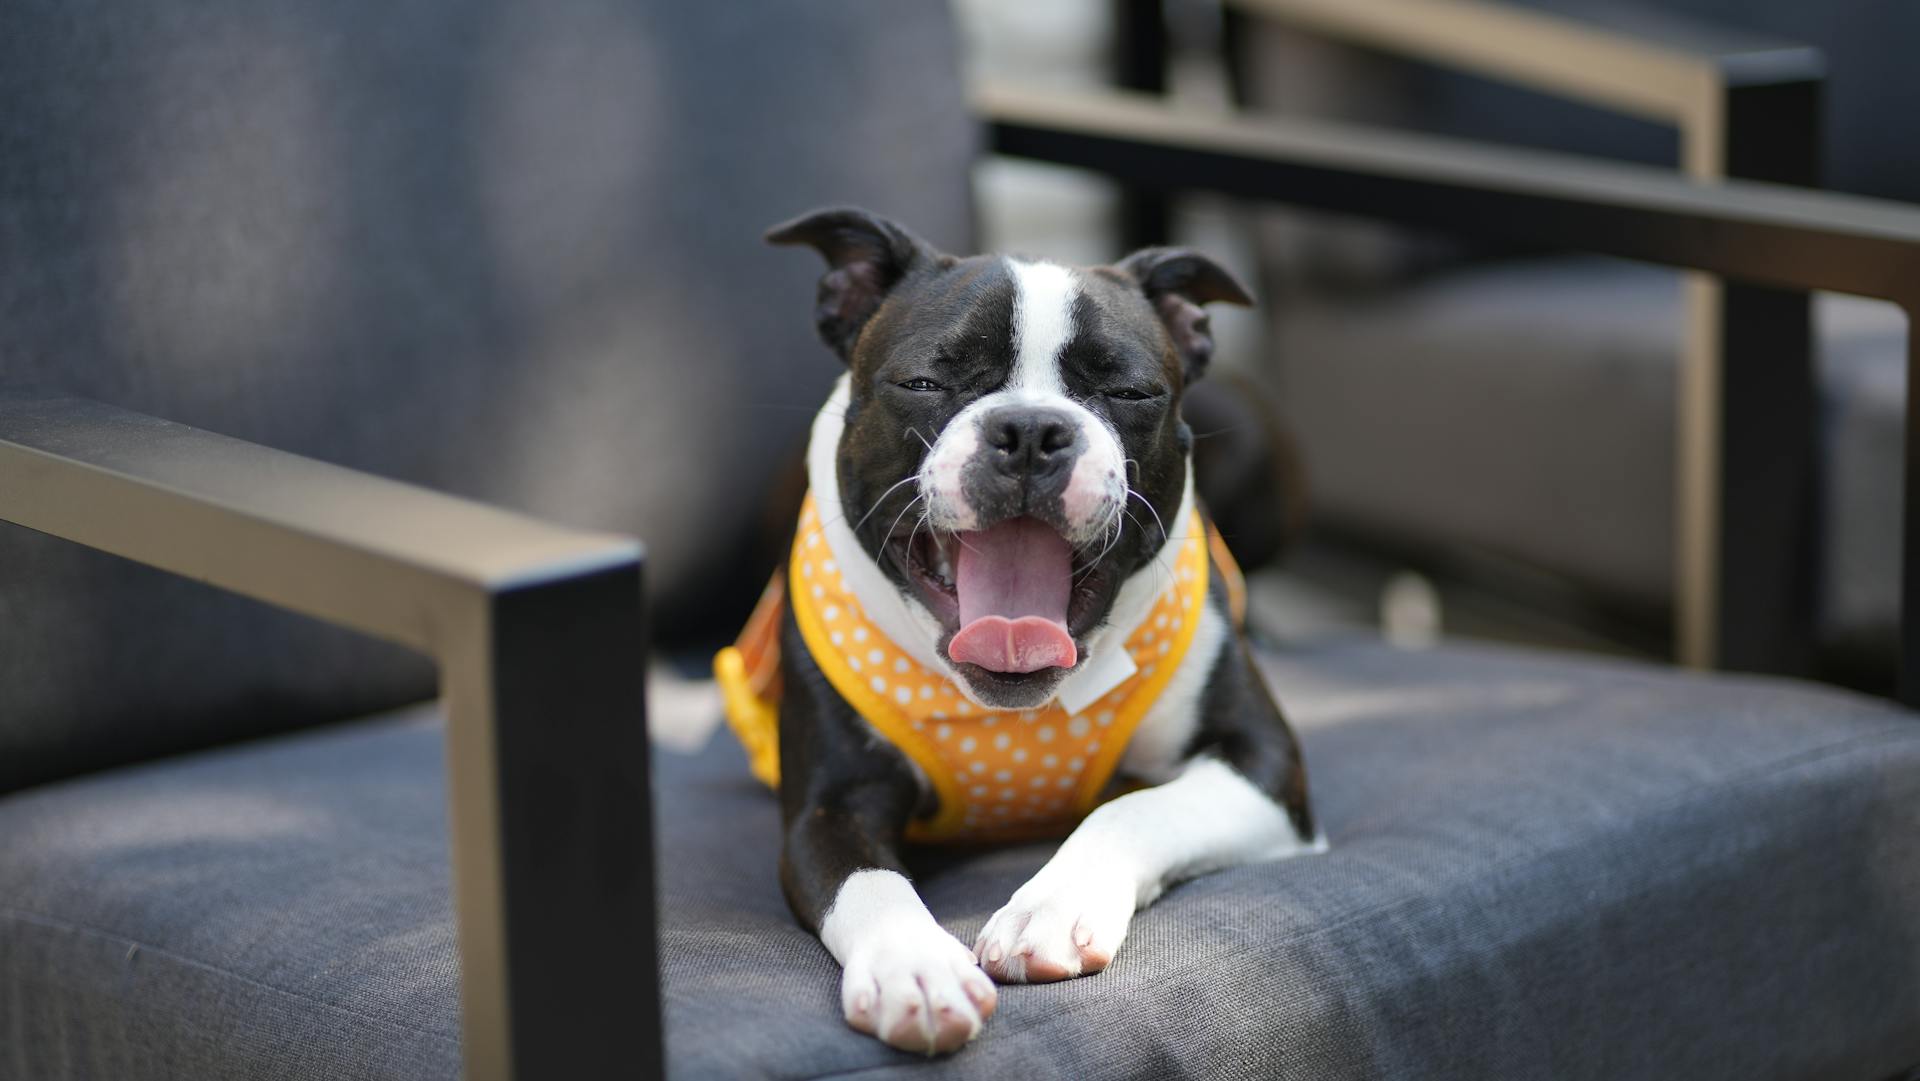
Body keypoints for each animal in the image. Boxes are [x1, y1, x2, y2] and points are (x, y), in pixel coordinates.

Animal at [756, 209, 1313, 1059]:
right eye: (925, 382)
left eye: (1128, 392)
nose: (1027, 428)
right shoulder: (829, 807)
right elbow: (868, 882)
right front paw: (916, 966)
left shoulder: (1265, 765)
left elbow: (1132, 808)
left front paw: (1053, 906)